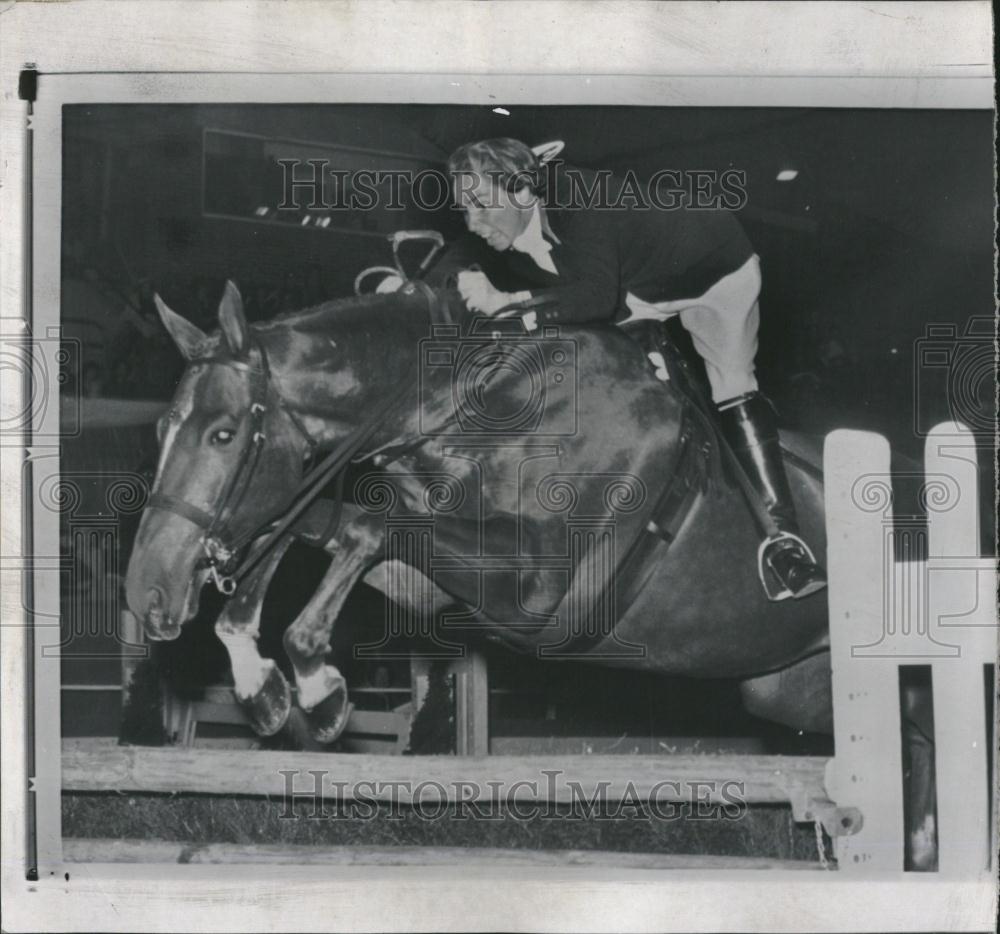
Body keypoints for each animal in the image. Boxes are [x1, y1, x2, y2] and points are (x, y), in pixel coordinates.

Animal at [123, 282, 936, 872]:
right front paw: (261, 684)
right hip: (789, 691)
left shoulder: (540, 595)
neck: (472, 412)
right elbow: (306, 525)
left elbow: (364, 526)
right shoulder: (426, 579)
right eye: (161, 431)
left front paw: (319, 690)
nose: (147, 594)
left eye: (224, 433)